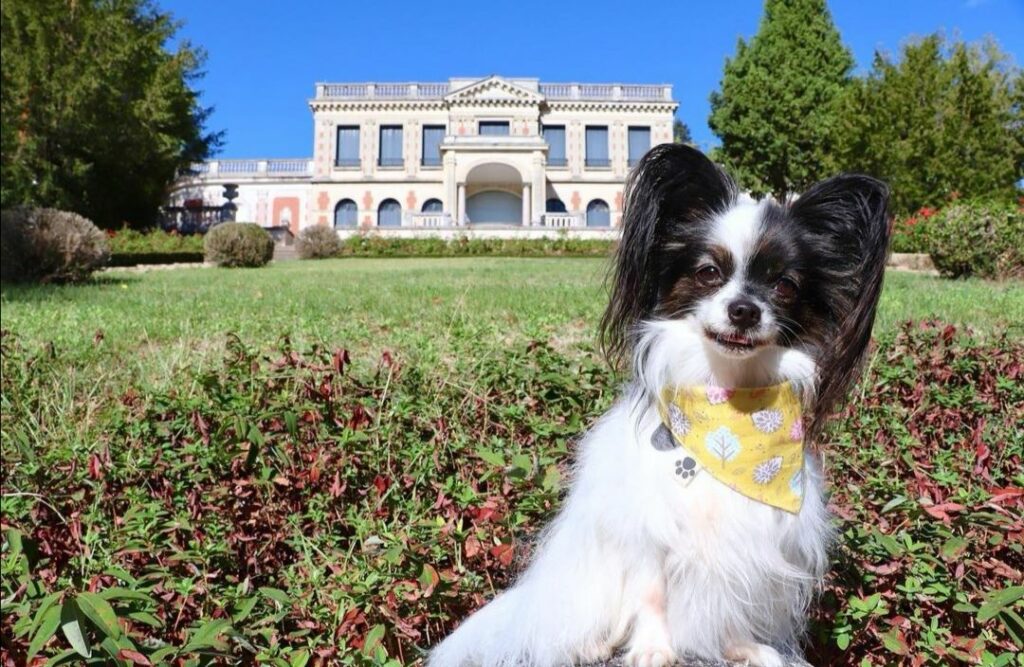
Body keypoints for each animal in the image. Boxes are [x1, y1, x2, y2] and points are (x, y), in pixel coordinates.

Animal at [428, 146, 892, 667]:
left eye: (785, 285)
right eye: (709, 272)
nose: (744, 310)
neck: (727, 406)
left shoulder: (752, 541)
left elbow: (735, 598)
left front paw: (743, 647)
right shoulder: (648, 526)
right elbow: (651, 593)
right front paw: (652, 648)